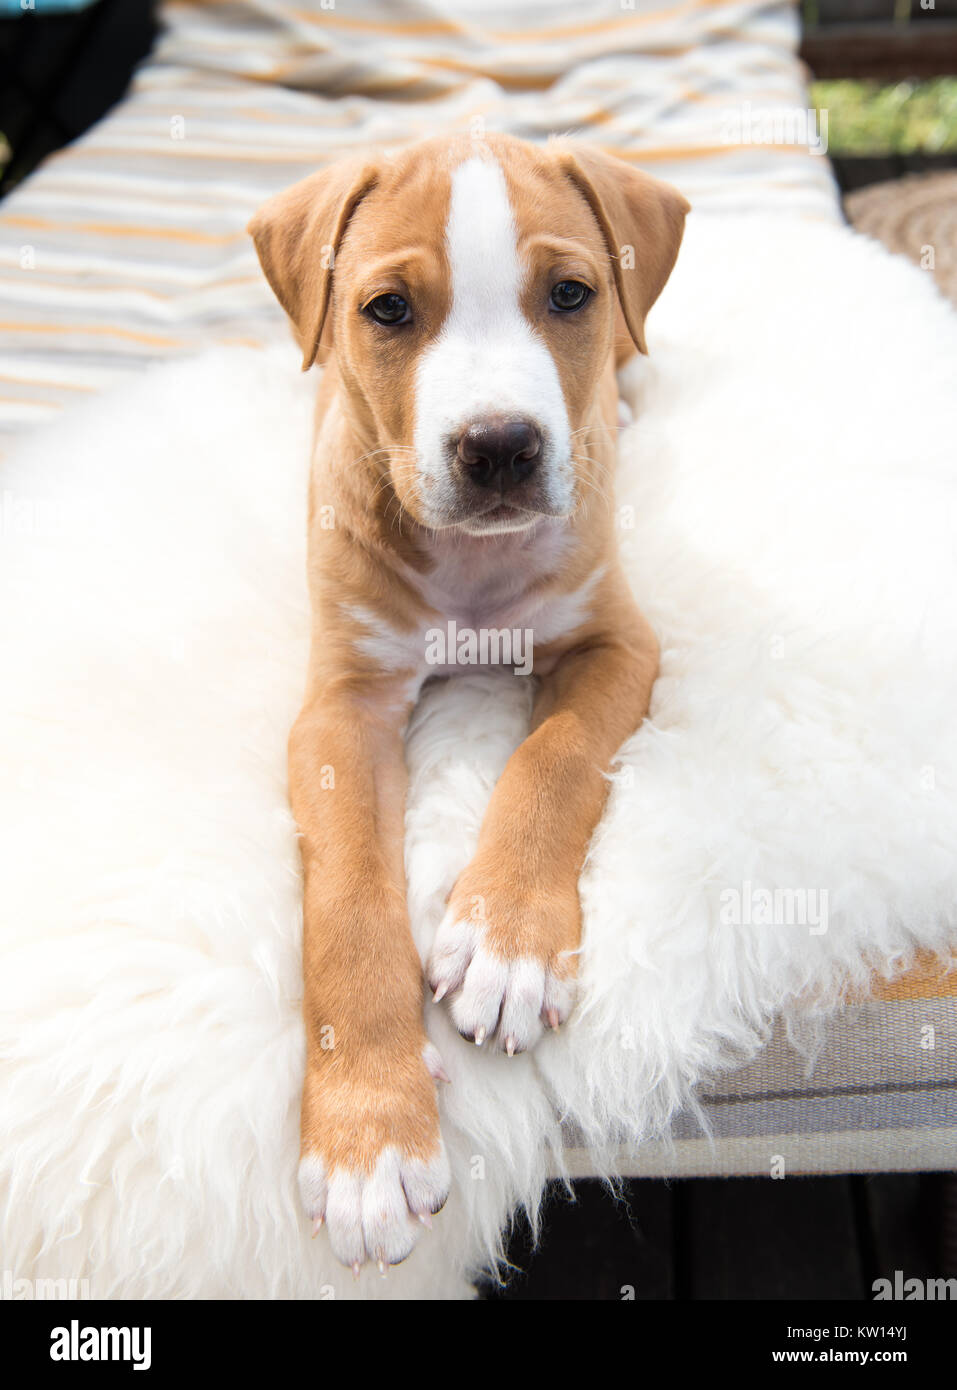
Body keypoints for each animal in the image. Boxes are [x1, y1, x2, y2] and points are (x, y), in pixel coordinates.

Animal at [248, 135, 687, 1273]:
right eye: (387, 309)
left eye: (570, 293)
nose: (498, 445)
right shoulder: (340, 709)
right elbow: (348, 906)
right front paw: (367, 1139)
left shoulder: (617, 644)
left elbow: (554, 760)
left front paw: (504, 947)